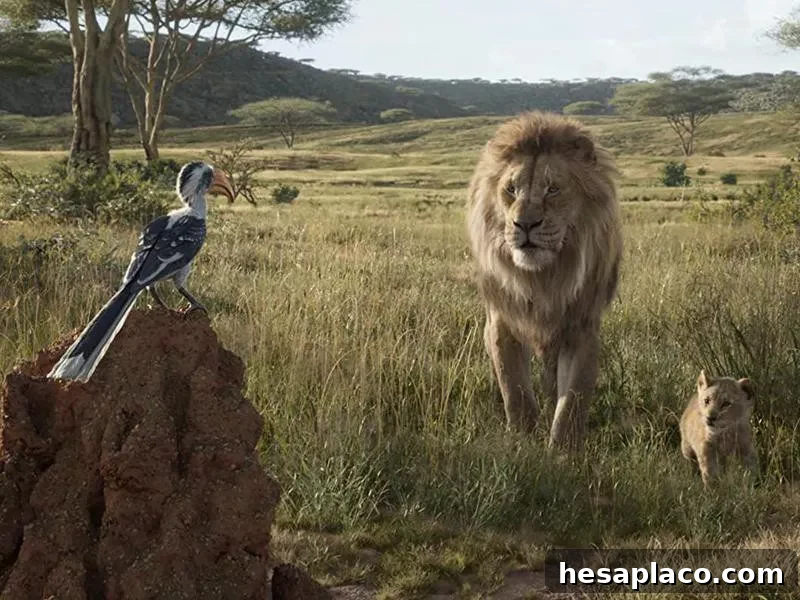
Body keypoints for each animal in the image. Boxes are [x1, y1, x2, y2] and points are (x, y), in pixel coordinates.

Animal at [465, 111, 622, 451]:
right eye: (511, 189)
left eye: (553, 189)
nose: (524, 224)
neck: (544, 278)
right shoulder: (502, 322)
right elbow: (515, 391)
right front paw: (522, 444)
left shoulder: (582, 328)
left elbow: (572, 402)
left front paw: (563, 453)